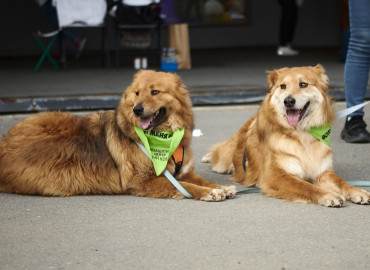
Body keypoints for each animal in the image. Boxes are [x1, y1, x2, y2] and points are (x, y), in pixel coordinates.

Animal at [0, 70, 236, 201]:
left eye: (155, 92)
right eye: (137, 93)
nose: (137, 110)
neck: (163, 137)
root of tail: (5, 142)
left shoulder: (183, 172)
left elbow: (203, 180)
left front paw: (221, 187)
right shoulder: (143, 180)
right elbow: (188, 187)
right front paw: (209, 193)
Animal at [202, 65, 370, 207]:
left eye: (303, 84)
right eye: (283, 86)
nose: (288, 101)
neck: (302, 135)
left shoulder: (323, 173)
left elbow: (342, 183)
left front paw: (358, 191)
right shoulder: (277, 176)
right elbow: (307, 186)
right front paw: (328, 195)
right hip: (224, 160)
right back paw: (208, 156)